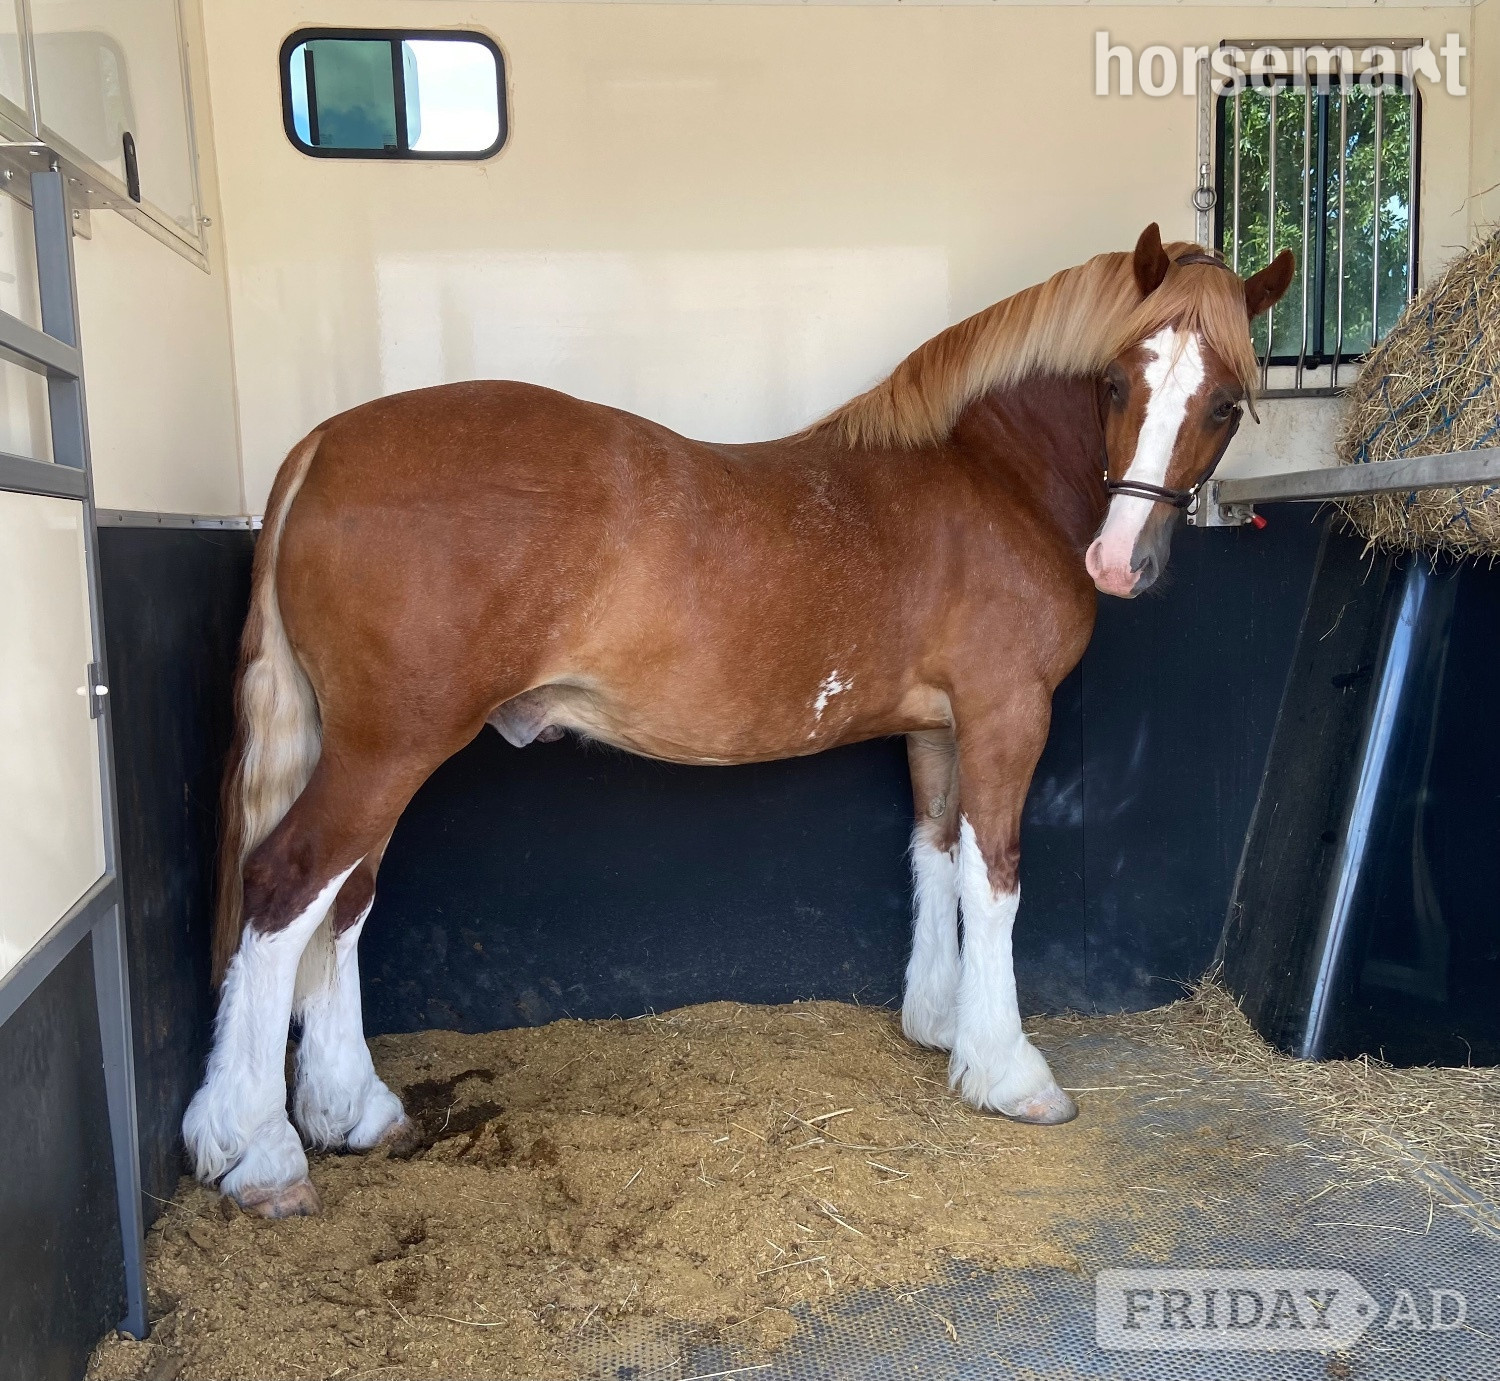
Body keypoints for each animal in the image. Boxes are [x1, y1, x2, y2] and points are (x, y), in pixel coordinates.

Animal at [183, 224, 1294, 1217]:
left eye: (1222, 402)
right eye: (1117, 384)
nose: (1121, 561)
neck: (989, 478)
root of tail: (325, 443)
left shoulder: (938, 727)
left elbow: (935, 853)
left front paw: (939, 1022)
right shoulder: (1005, 712)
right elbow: (997, 879)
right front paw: (1008, 1068)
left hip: (371, 749)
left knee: (346, 899)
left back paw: (350, 1107)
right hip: (388, 748)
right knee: (288, 887)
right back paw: (259, 1147)